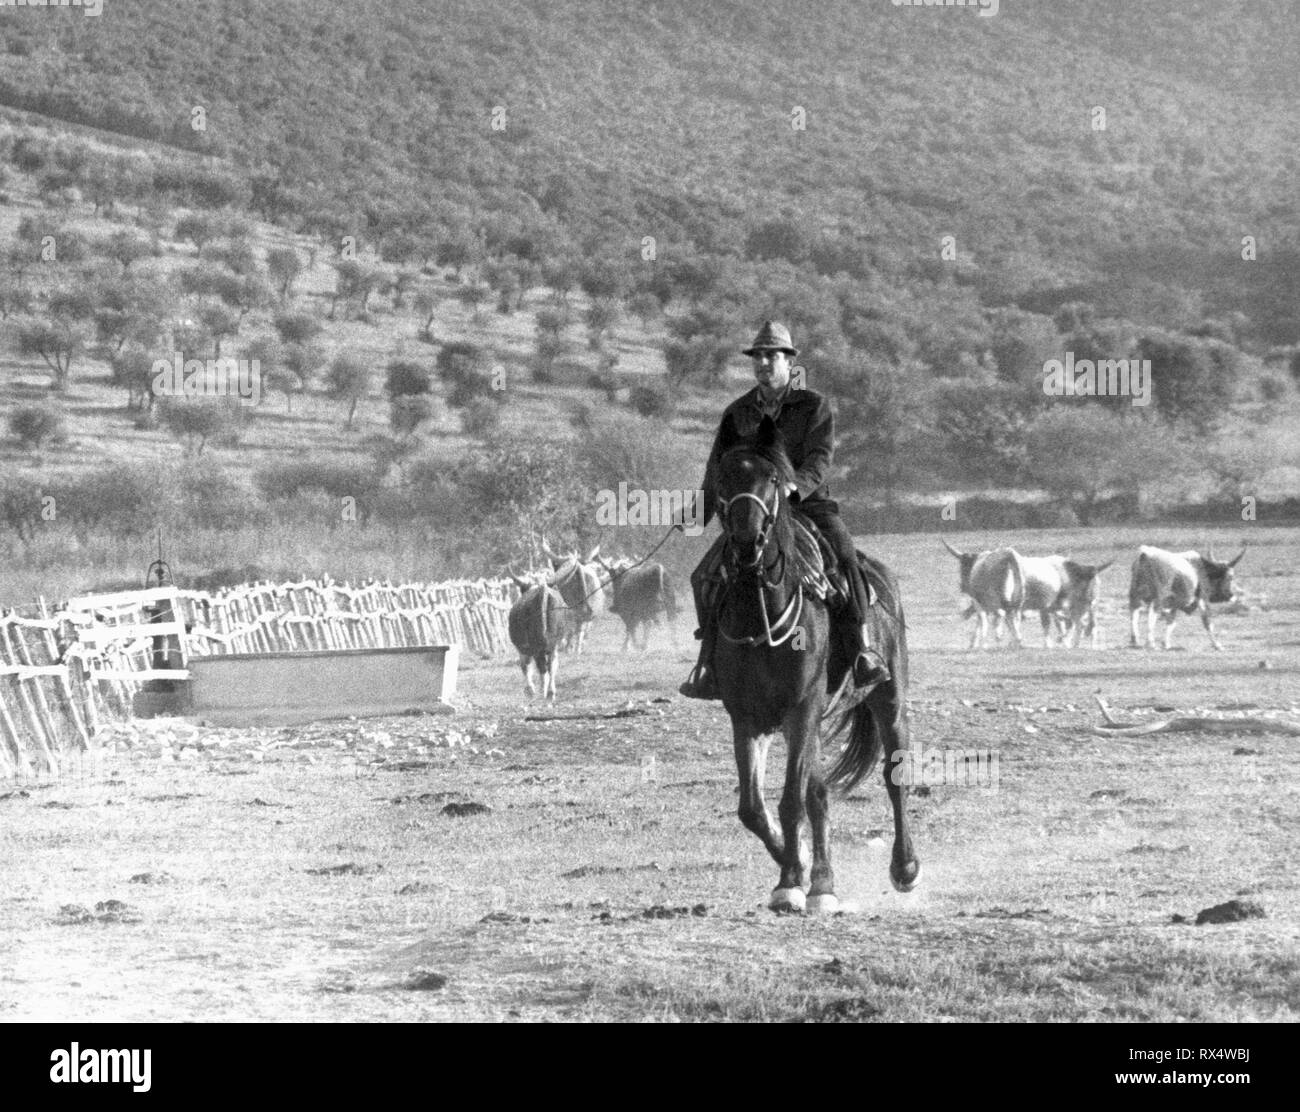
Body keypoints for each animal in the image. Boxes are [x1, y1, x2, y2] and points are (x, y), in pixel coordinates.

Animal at [712, 416, 925, 915]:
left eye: (771, 478)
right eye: (723, 477)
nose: (747, 541)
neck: (762, 611)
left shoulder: (802, 706)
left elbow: (792, 801)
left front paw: (799, 883)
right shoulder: (748, 717)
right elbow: (755, 808)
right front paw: (799, 867)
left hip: (889, 701)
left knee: (894, 778)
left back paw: (903, 868)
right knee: (819, 792)